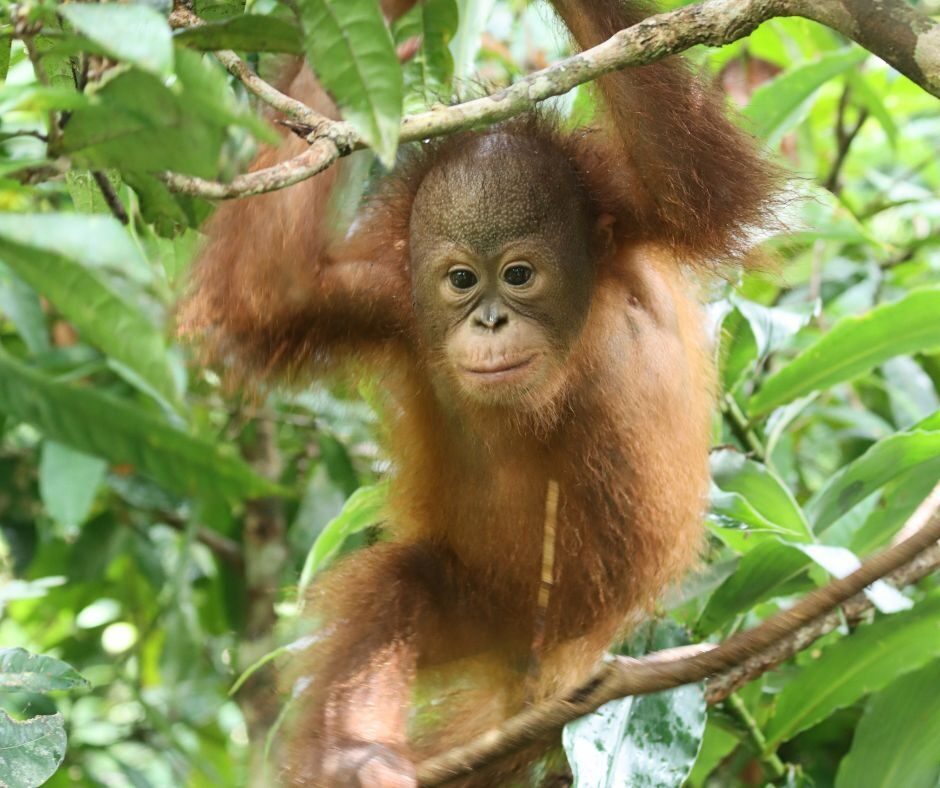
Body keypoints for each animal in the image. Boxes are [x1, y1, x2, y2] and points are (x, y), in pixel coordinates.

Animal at [181, 0, 781, 784]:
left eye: (519, 274)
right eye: (462, 280)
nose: (489, 320)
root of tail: (534, 667)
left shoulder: (642, 220)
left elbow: (694, 176)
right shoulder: (391, 301)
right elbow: (270, 291)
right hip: (475, 604)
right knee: (399, 585)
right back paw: (358, 755)